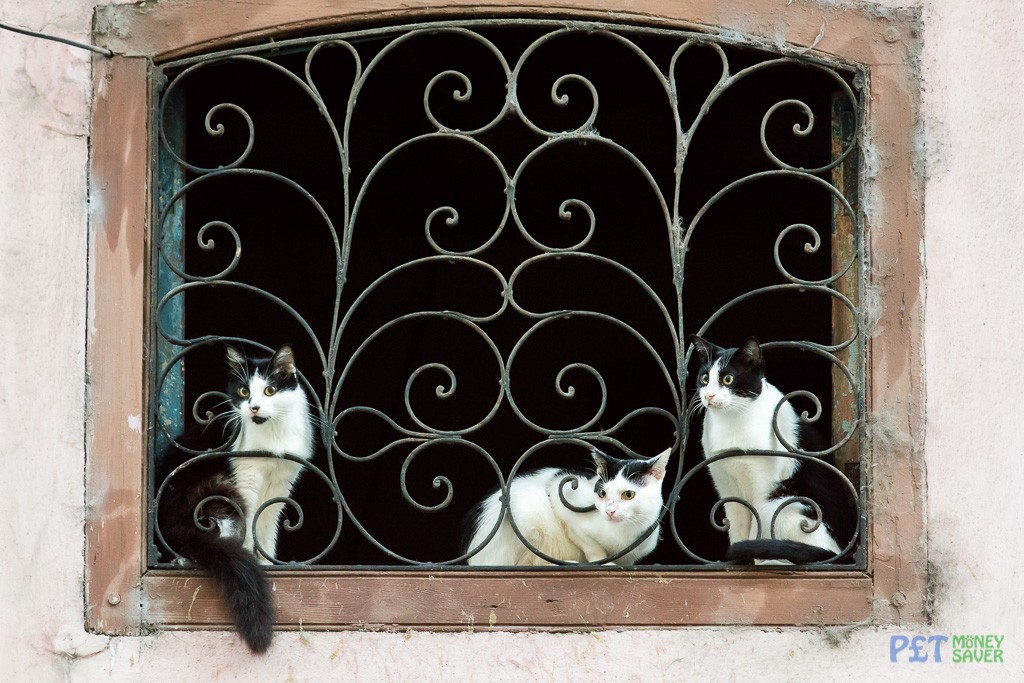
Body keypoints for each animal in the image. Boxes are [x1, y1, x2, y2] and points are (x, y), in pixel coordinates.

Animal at [155, 344, 313, 655]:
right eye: (243, 391)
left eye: (269, 390)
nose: (253, 407)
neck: (271, 434)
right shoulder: (245, 477)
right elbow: (251, 531)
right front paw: (254, 558)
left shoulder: (280, 487)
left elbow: (267, 531)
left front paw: (268, 564)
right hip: (218, 497)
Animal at [464, 448, 671, 565]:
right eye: (602, 493)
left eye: (628, 495)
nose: (609, 511)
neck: (622, 534)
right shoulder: (563, 500)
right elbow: (591, 546)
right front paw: (602, 562)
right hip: (525, 510)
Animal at [688, 333, 856, 565]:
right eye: (705, 379)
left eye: (727, 379)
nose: (709, 396)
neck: (731, 421)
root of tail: (844, 555)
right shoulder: (725, 483)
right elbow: (737, 526)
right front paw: (737, 562)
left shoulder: (762, 483)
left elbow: (755, 530)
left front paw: (752, 561)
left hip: (782, 502)